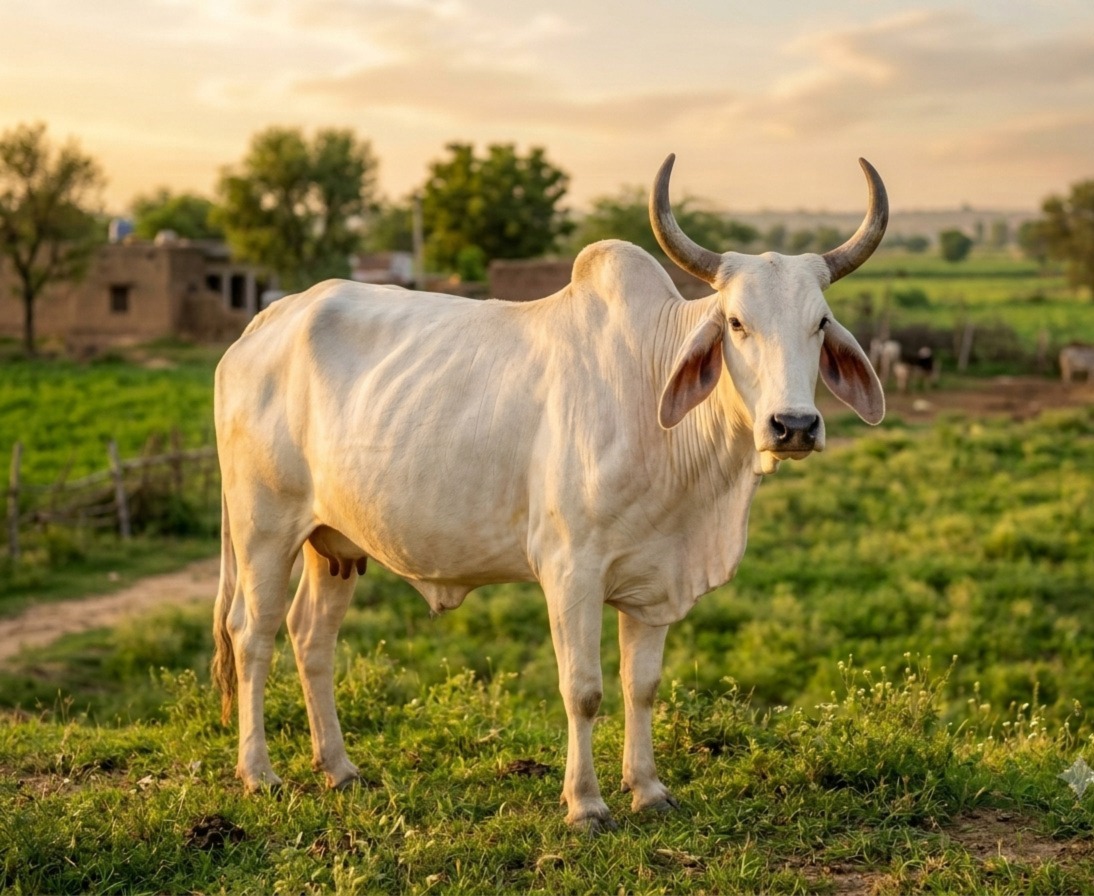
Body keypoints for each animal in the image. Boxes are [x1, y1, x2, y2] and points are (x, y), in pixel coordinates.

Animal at [211, 154, 888, 833]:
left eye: (820, 323)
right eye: (736, 322)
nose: (794, 426)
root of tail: (264, 324)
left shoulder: (654, 583)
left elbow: (641, 686)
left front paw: (648, 789)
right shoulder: (570, 571)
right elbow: (582, 690)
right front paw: (585, 803)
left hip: (334, 544)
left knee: (311, 638)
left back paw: (339, 768)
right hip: (263, 530)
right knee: (252, 635)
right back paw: (258, 773)